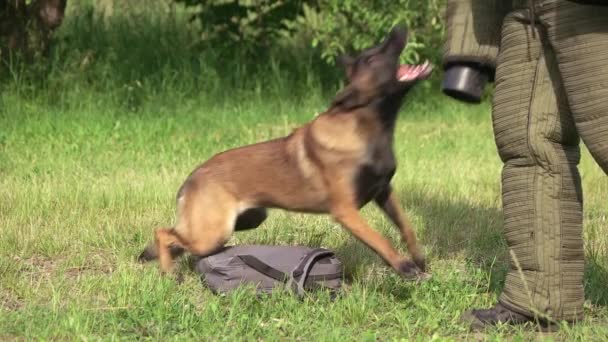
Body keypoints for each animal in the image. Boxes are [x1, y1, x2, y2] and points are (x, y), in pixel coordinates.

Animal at [139, 25, 432, 280]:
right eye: (373, 57)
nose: (399, 28)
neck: (367, 126)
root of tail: (192, 178)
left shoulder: (384, 192)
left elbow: (407, 227)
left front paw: (418, 259)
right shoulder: (346, 211)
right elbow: (380, 240)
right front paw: (403, 266)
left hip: (243, 221)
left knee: (178, 239)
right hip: (212, 231)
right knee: (163, 233)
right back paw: (168, 273)